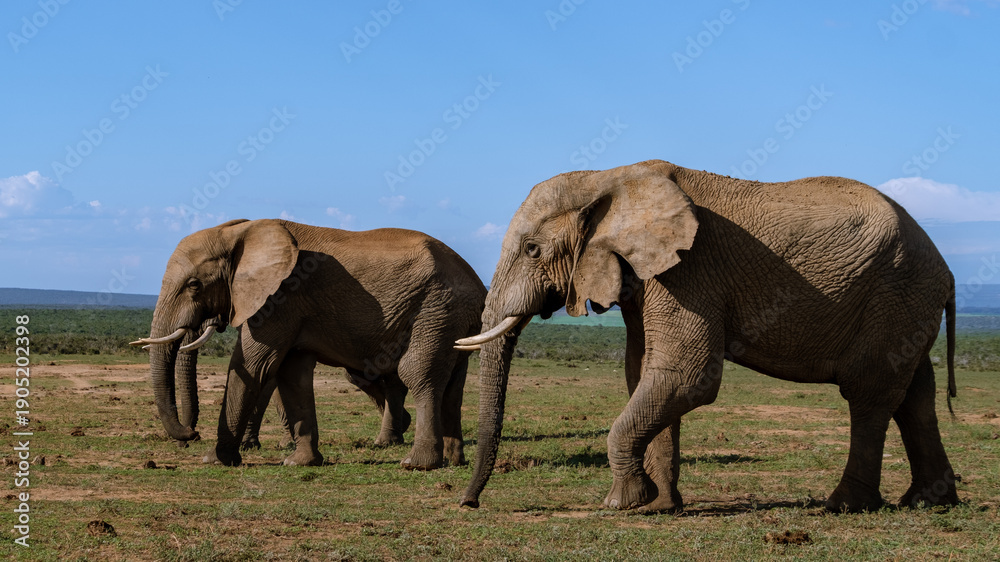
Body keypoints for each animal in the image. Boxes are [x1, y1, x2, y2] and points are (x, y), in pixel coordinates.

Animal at [132, 218, 486, 469]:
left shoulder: (280, 298)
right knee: (452, 384)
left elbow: (253, 366)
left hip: (436, 309)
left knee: (419, 374)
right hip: (451, 320)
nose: (189, 435)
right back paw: (454, 460)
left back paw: (417, 464)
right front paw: (299, 462)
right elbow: (292, 375)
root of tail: (478, 285)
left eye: (194, 285)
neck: (240, 232)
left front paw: (215, 459)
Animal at [457, 160, 958, 513]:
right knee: (915, 396)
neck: (608, 178)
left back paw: (844, 506)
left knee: (869, 393)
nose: (469, 503)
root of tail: (948, 271)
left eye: (532, 249)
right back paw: (929, 501)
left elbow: (686, 375)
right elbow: (645, 373)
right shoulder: (648, 274)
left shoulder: (689, 270)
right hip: (908, 304)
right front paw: (658, 507)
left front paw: (621, 503)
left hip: (896, 292)